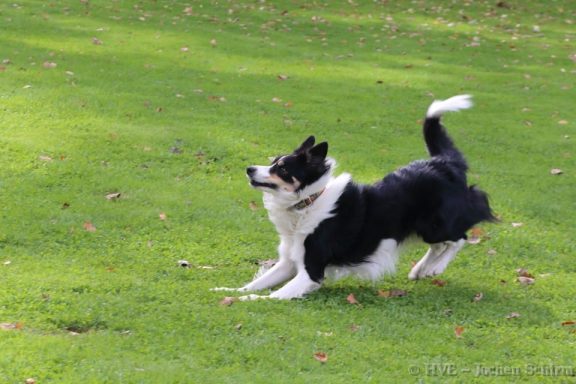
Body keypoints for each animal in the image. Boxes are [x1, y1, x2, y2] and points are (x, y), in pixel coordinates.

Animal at [214, 95, 492, 300]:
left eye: (282, 169)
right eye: (273, 161)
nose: (249, 169)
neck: (309, 201)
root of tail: (443, 162)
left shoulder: (311, 271)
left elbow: (269, 296)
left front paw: (238, 300)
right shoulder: (288, 263)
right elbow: (256, 283)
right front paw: (226, 289)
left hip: (435, 225)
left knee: (459, 238)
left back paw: (435, 267)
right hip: (421, 228)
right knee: (441, 245)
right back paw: (420, 270)